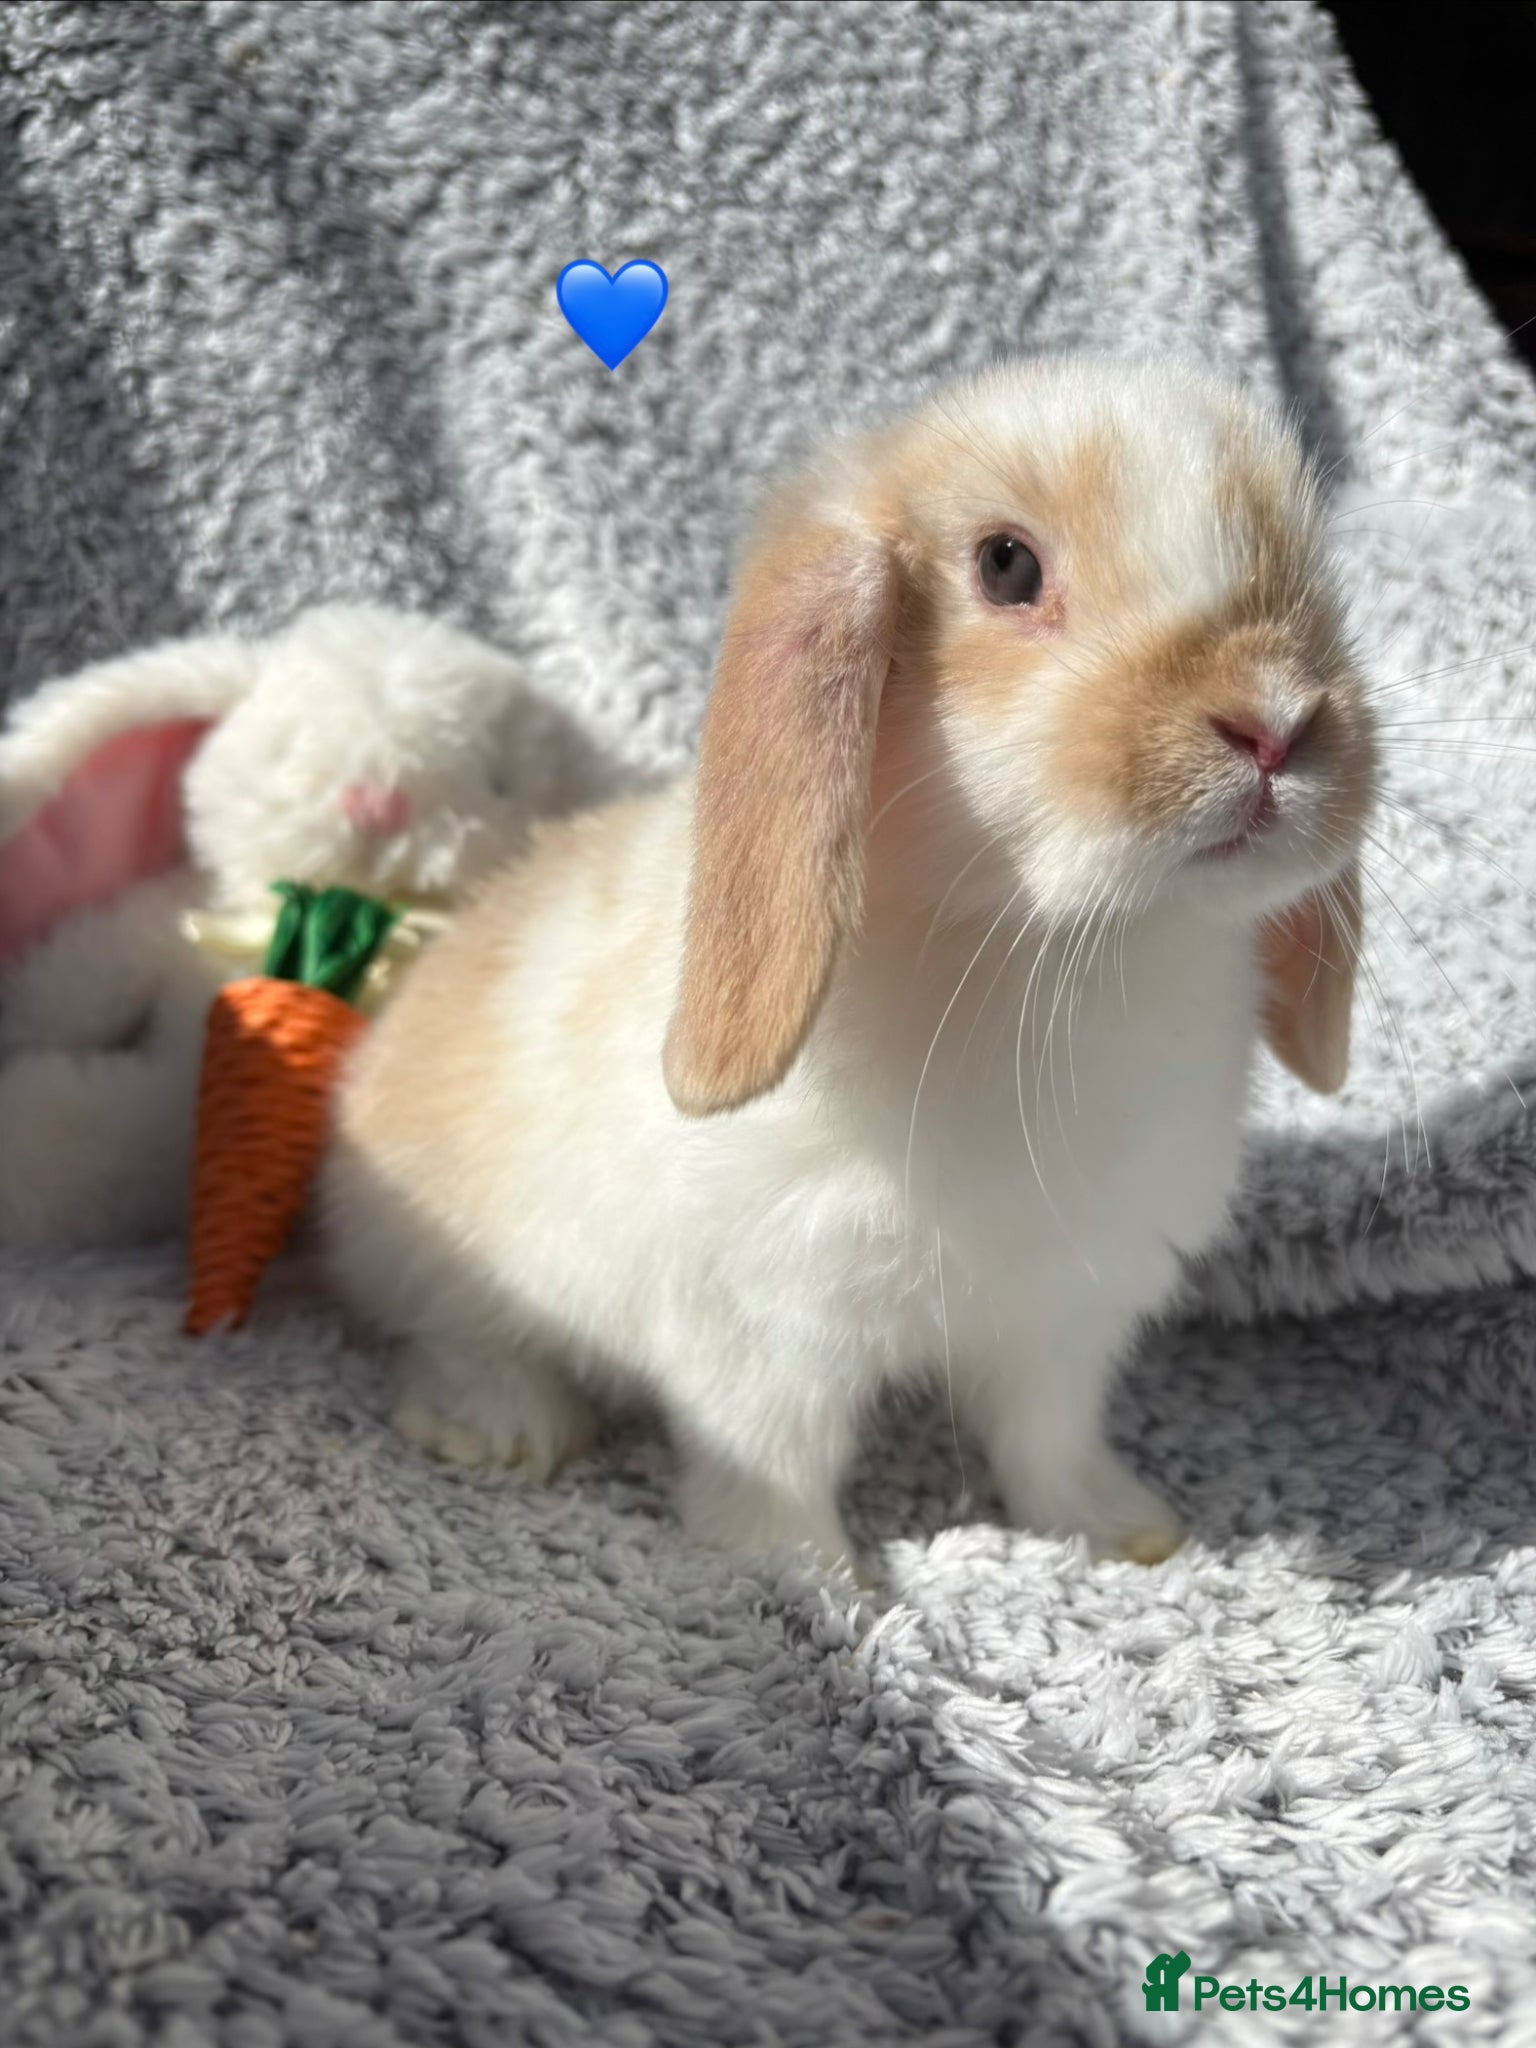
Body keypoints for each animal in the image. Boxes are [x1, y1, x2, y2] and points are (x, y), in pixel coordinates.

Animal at [319, 357, 1377, 1569]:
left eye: (1309, 569)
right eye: (1006, 565)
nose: (1277, 722)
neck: (1051, 946)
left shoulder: (1060, 1317)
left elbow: (1049, 1439)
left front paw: (1123, 1531)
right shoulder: (766, 1335)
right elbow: (775, 1465)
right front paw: (805, 1578)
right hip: (445, 1256)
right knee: (448, 1334)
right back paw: (501, 1426)